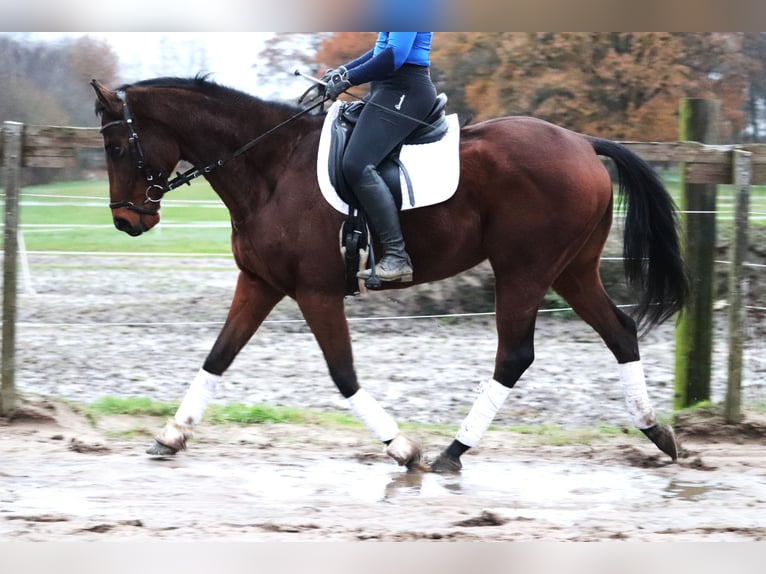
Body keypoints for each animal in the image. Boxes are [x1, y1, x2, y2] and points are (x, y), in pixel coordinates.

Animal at [91, 75, 688, 472]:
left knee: (515, 355)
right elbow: (217, 357)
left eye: (117, 146)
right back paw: (657, 432)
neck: (270, 169)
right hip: (571, 271)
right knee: (619, 331)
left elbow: (342, 374)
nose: (125, 221)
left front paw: (403, 447)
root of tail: (583, 142)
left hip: (523, 269)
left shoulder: (315, 292)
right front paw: (170, 436)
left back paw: (452, 451)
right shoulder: (260, 284)